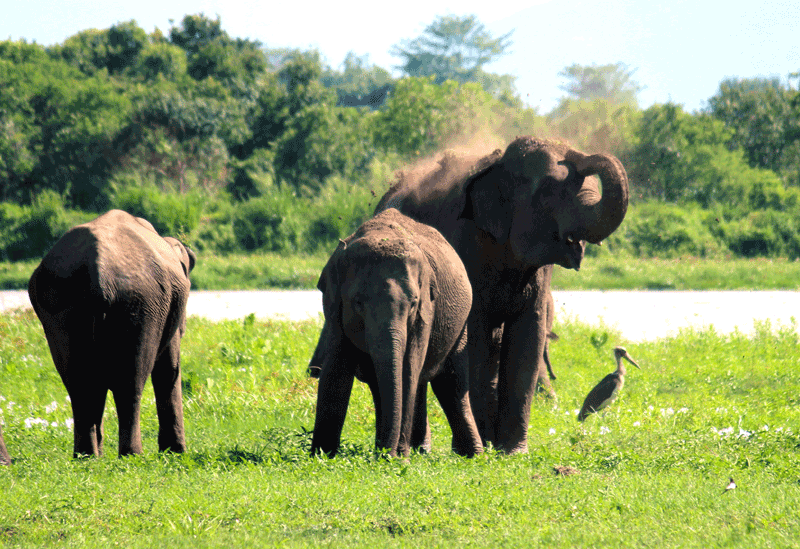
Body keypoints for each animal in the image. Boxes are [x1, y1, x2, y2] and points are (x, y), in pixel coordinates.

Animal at [29, 208, 197, 456]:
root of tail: (98, 271)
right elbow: (169, 368)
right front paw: (175, 453)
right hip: (139, 305)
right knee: (130, 382)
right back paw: (132, 455)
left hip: (62, 306)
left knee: (80, 384)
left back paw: (86, 456)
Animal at [306, 208, 482, 456]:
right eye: (358, 303)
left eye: (413, 303)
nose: (388, 456)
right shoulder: (334, 308)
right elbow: (336, 371)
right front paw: (322, 456)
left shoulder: (426, 310)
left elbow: (409, 369)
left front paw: (398, 458)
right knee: (382, 384)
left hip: (459, 327)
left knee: (451, 384)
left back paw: (471, 455)